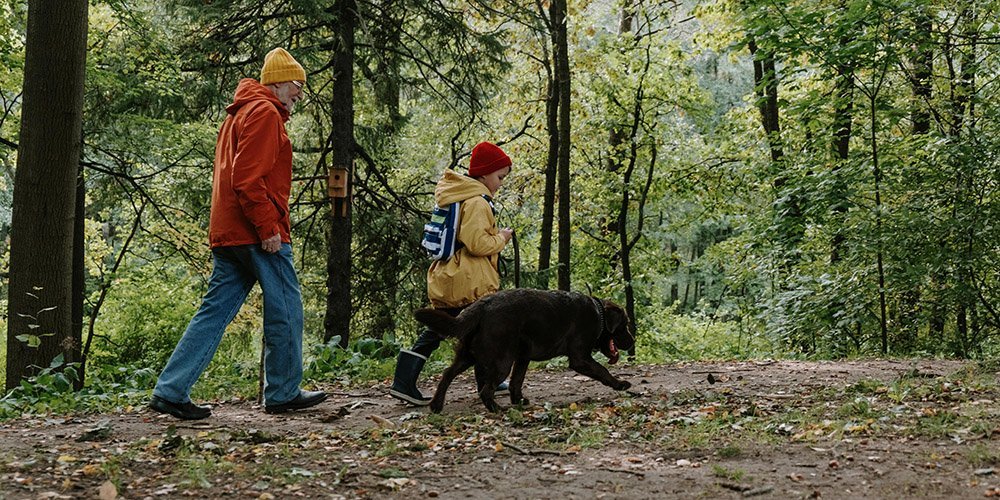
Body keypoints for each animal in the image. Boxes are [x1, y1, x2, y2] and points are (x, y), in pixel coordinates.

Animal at [412, 288, 632, 412]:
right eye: (625, 324)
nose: (632, 342)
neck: (599, 314)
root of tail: (482, 305)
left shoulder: (523, 358)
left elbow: (516, 381)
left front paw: (518, 400)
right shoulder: (580, 358)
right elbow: (602, 370)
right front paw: (620, 384)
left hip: (468, 355)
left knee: (447, 374)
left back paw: (436, 405)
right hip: (501, 362)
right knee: (485, 390)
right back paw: (496, 409)